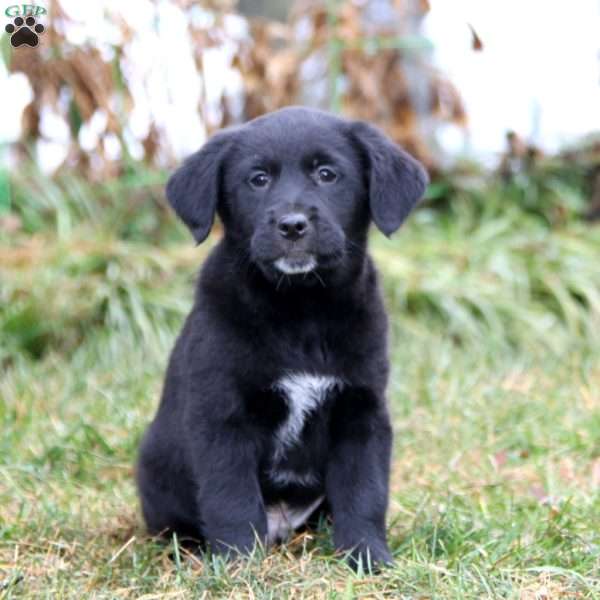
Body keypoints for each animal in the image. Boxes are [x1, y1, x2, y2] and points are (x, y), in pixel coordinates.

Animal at [136, 105, 426, 568]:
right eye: (258, 179)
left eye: (327, 174)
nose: (292, 225)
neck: (301, 309)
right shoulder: (222, 416)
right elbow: (230, 497)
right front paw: (237, 564)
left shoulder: (361, 410)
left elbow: (365, 491)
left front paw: (367, 556)